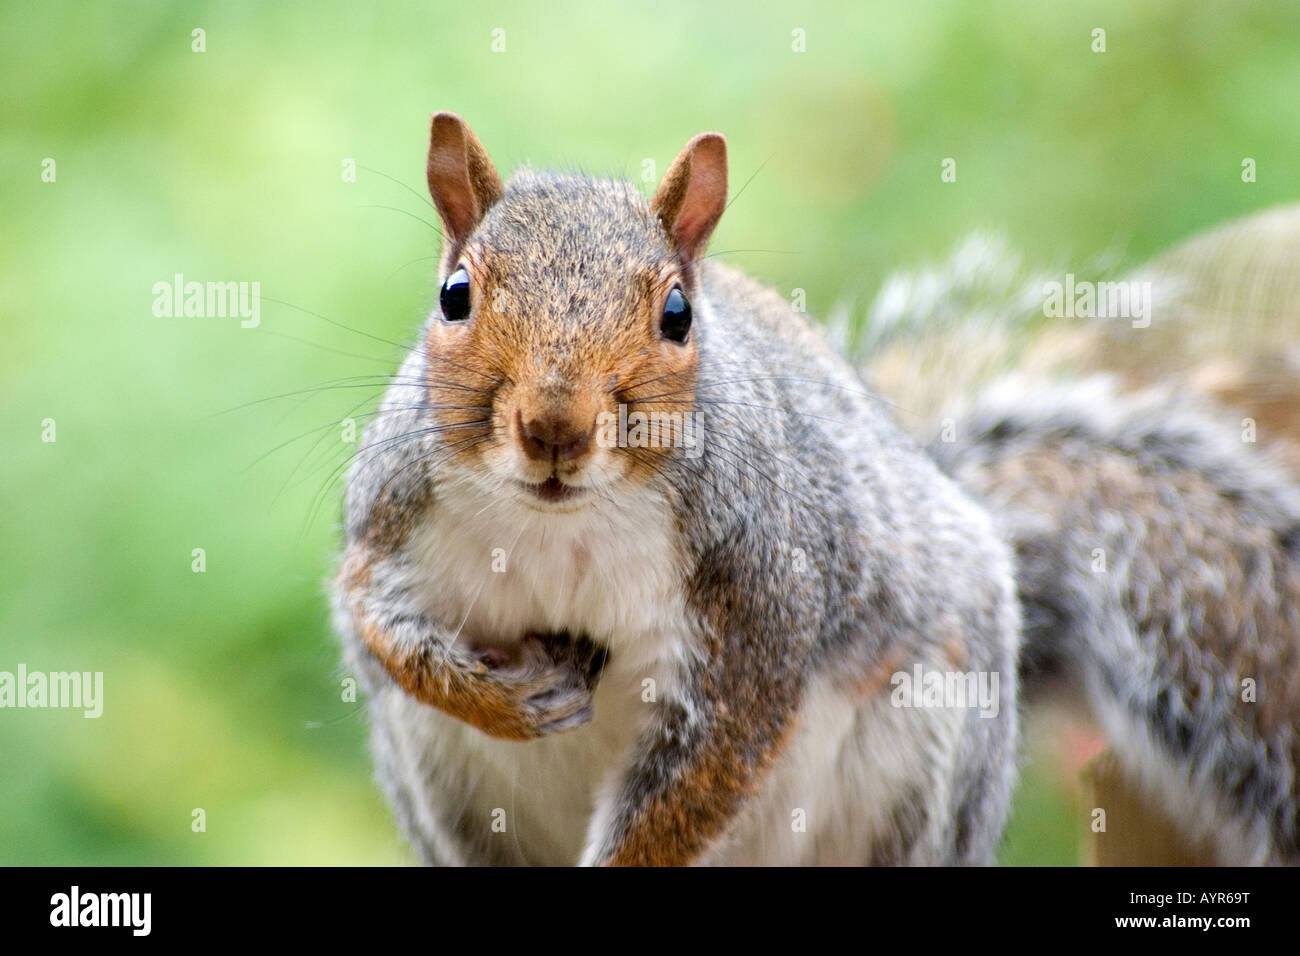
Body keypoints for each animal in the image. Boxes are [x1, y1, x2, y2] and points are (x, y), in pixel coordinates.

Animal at [332, 113, 1300, 868]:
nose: (554, 430)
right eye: (454, 296)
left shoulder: (759, 595)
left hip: (922, 764)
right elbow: (374, 614)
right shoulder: (390, 511)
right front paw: (505, 698)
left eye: (677, 315)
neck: (560, 523)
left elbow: (719, 753)